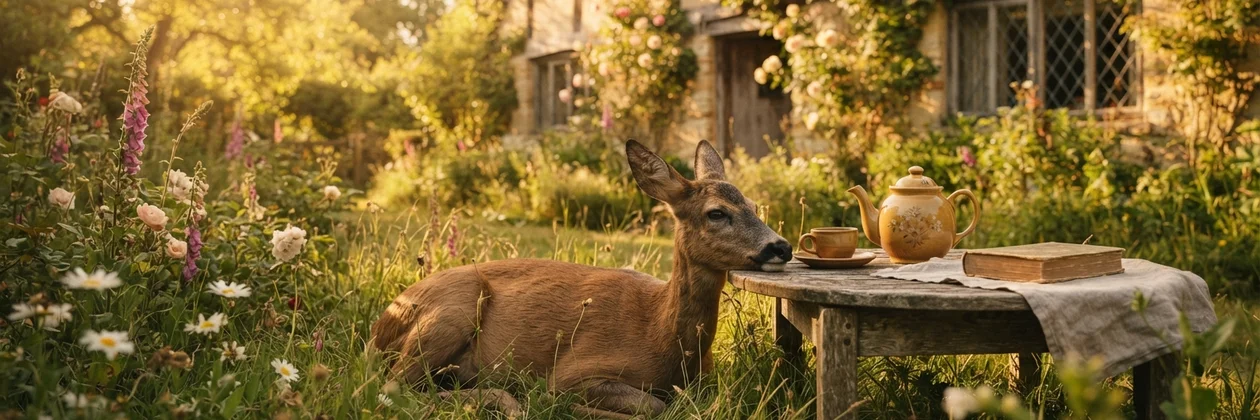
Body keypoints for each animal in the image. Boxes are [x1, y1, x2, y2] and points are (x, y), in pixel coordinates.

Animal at [370, 139, 793, 418]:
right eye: (716, 213)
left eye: (754, 206)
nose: (782, 247)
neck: (660, 333)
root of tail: (380, 325)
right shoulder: (575, 370)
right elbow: (652, 404)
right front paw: (566, 405)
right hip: (451, 313)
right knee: (395, 386)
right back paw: (504, 400)